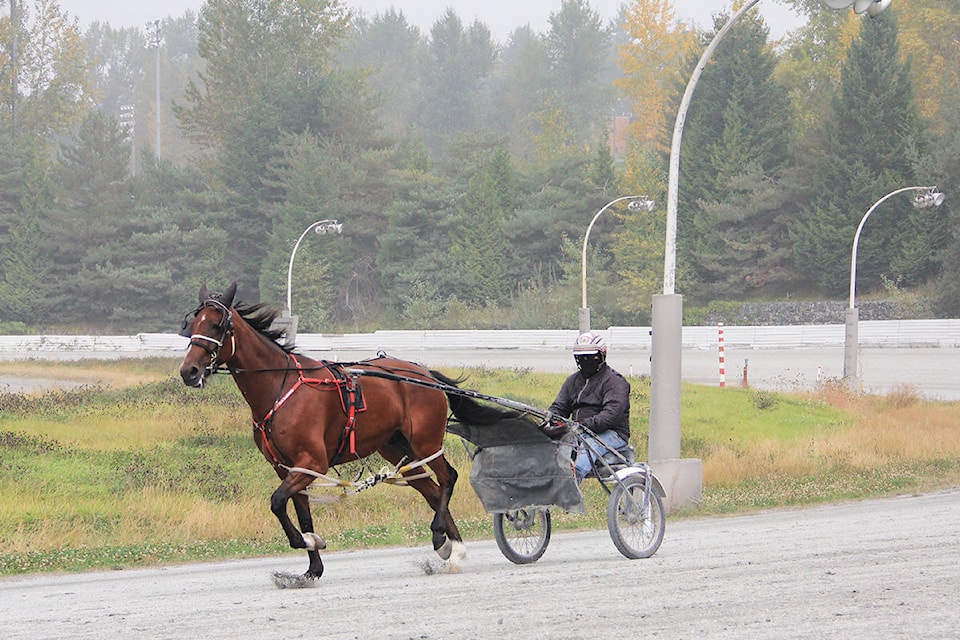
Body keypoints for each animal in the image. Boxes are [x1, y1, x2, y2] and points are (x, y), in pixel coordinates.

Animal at [178, 282, 496, 584]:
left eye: (217, 325)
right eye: (193, 325)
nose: (189, 371)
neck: (280, 387)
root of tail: (424, 374)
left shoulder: (312, 462)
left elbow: (277, 502)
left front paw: (307, 541)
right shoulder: (288, 468)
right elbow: (300, 512)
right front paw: (312, 567)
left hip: (425, 442)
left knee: (447, 478)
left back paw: (442, 537)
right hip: (397, 448)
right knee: (431, 490)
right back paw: (451, 547)